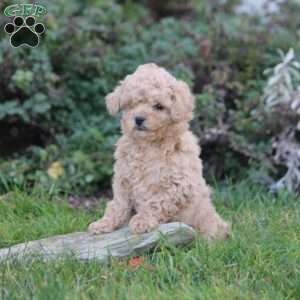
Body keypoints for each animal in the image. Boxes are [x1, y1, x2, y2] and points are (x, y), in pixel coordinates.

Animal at [88, 63, 230, 239]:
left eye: (159, 106)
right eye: (131, 105)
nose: (138, 119)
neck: (147, 146)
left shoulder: (178, 184)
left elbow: (156, 203)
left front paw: (142, 221)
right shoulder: (123, 180)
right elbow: (118, 205)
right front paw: (104, 224)